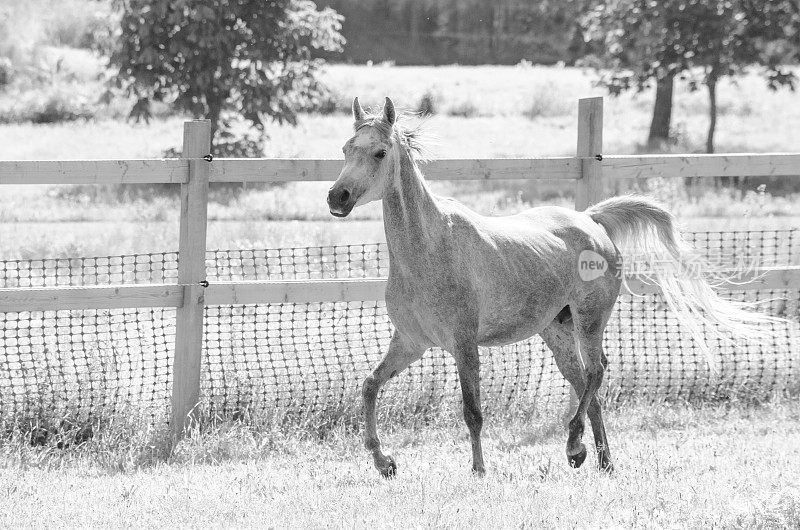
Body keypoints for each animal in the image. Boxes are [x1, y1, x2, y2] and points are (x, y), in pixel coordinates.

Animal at [324, 97, 776, 476]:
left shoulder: (464, 345)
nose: (337, 196)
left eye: (380, 153)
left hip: (589, 321)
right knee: (585, 385)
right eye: (346, 149)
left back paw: (575, 448)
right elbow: (369, 386)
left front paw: (479, 470)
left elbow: (472, 411)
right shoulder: (411, 342)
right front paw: (384, 462)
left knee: (596, 372)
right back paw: (603, 461)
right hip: (556, 330)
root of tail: (592, 220)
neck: (429, 249)